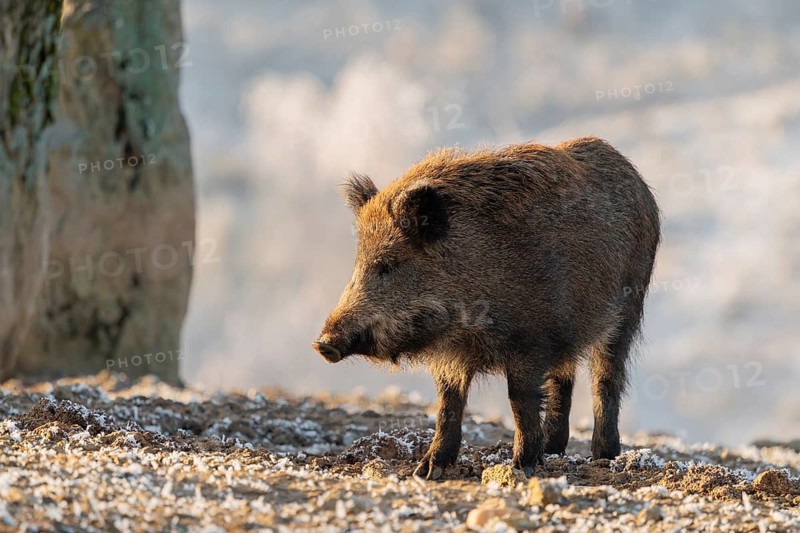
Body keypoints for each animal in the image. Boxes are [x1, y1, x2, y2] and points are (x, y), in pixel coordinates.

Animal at [313, 137, 660, 480]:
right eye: (357, 264)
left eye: (388, 265)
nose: (323, 344)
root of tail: (636, 178)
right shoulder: (450, 357)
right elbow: (448, 405)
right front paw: (427, 471)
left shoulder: (531, 342)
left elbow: (519, 401)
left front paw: (521, 467)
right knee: (563, 379)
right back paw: (552, 450)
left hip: (628, 308)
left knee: (606, 377)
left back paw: (604, 455)